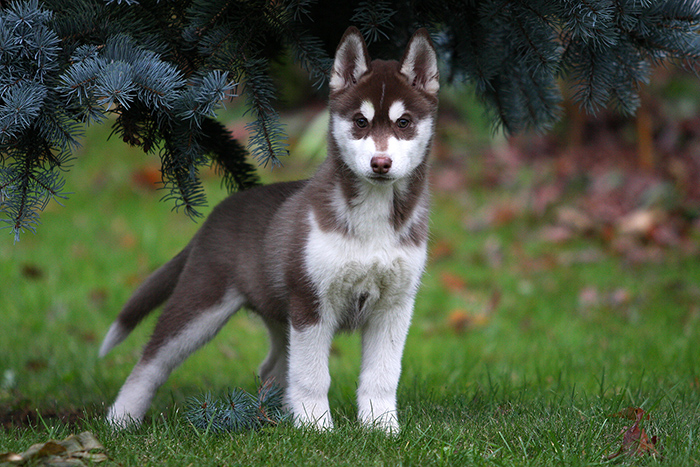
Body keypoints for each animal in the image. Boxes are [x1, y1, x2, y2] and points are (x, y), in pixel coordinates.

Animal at [98, 27, 438, 434]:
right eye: (360, 121)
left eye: (404, 123)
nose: (381, 163)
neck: (373, 215)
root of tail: (217, 213)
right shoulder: (310, 301)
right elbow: (312, 375)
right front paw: (317, 427)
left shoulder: (395, 305)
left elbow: (382, 374)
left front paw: (382, 428)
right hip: (201, 302)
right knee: (151, 361)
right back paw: (121, 419)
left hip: (277, 313)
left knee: (272, 367)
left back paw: (273, 414)